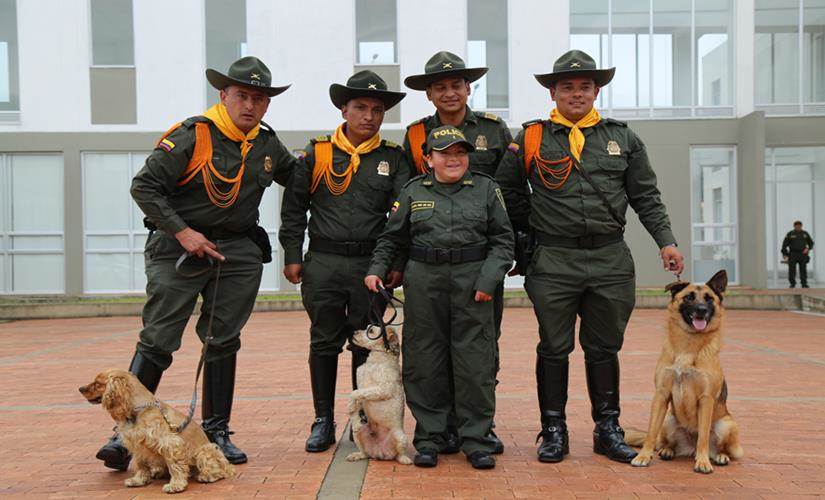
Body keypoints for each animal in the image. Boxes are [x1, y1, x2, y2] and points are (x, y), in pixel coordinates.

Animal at [79, 369, 235, 493]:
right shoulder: (137, 444)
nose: (80, 388)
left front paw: (176, 485)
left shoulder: (170, 444)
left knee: (219, 470)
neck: (136, 411)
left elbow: (175, 466)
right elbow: (141, 464)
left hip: (205, 450)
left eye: (98, 383)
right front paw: (138, 480)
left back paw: (206, 476)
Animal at [345, 325, 411, 465]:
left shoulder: (382, 389)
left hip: (401, 437)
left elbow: (354, 393)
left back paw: (404, 459)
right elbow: (355, 400)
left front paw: (350, 406)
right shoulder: (362, 386)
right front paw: (355, 421)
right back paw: (357, 455)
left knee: (398, 455)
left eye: (371, 331)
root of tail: (380, 454)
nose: (354, 331)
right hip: (358, 436)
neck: (375, 361)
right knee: (364, 453)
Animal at [628, 270, 743, 474]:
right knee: (665, 442)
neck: (688, 345)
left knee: (718, 446)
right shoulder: (661, 395)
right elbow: (650, 432)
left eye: (709, 299)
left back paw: (719, 456)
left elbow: (703, 436)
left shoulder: (706, 399)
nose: (701, 310)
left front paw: (703, 462)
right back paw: (666, 451)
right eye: (689, 297)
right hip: (668, 420)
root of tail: (689, 448)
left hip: (727, 425)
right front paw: (643, 456)